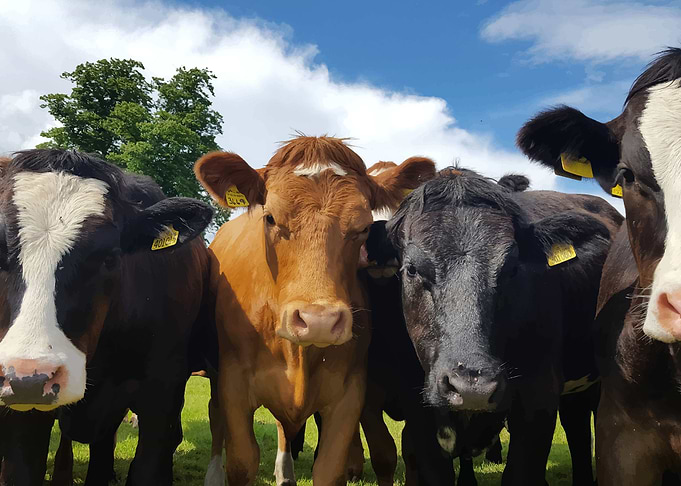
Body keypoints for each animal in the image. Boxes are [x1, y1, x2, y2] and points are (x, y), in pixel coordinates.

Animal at [193, 136, 435, 486]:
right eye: (270, 218)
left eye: (363, 227)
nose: (319, 322)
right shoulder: (232, 382)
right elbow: (241, 461)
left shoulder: (351, 395)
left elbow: (331, 468)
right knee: (216, 417)